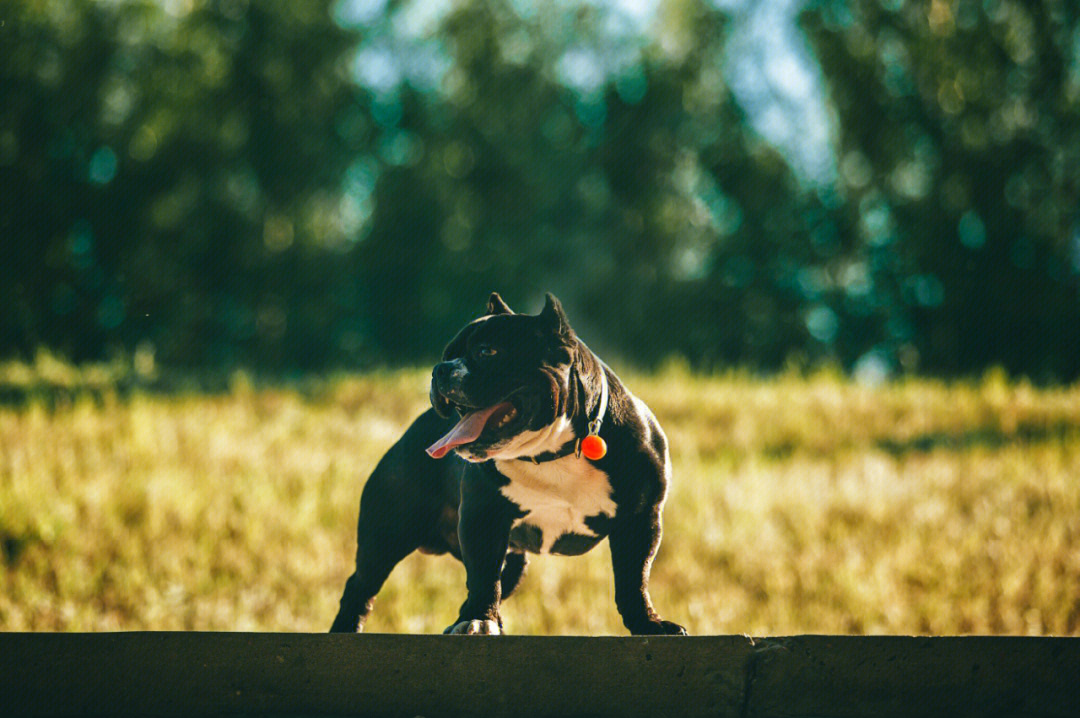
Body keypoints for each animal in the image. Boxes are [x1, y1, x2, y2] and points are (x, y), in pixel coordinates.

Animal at [328, 291, 682, 634]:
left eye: (487, 352)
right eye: (447, 354)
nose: (439, 368)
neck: (551, 452)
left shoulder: (639, 520)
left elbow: (633, 580)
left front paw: (647, 624)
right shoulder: (483, 518)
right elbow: (484, 578)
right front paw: (479, 620)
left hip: (513, 562)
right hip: (387, 534)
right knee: (361, 586)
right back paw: (347, 629)